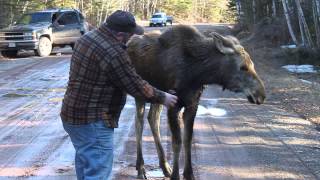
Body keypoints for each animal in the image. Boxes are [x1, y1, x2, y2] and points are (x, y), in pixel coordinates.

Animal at [127, 25, 264, 180]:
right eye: (243, 67)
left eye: (252, 65)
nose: (261, 94)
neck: (197, 73)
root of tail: (129, 43)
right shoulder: (174, 104)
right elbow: (177, 142)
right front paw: (176, 175)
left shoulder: (192, 104)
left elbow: (188, 139)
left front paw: (189, 174)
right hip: (140, 93)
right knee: (139, 123)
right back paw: (141, 168)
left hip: (158, 96)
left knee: (153, 119)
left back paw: (164, 166)